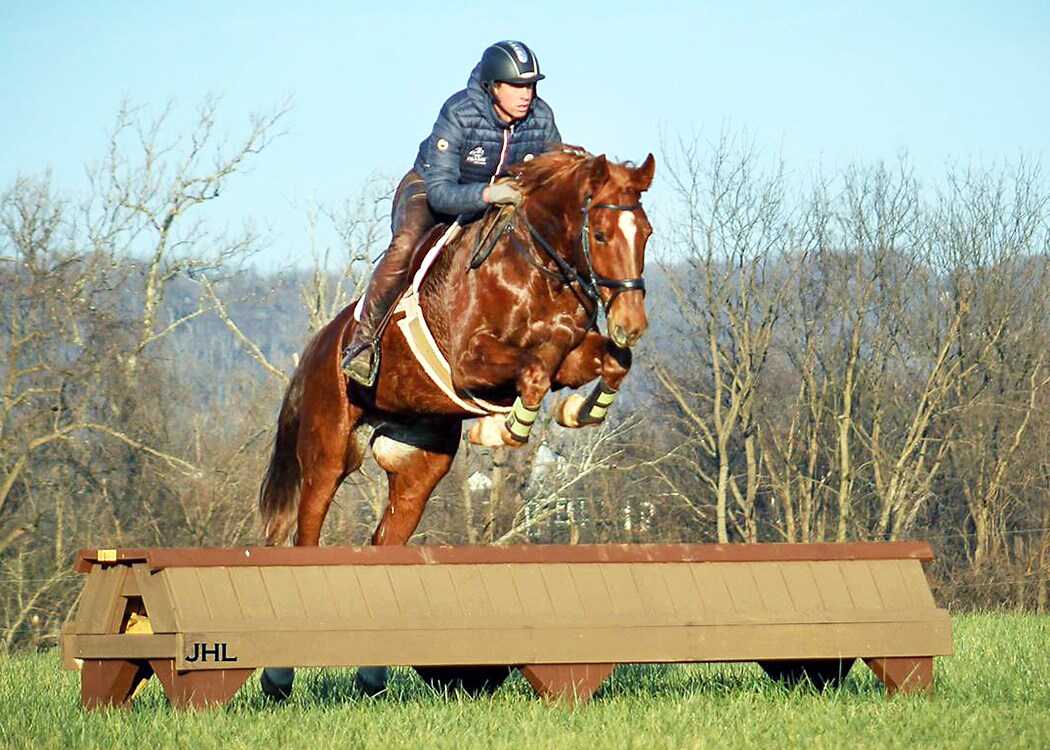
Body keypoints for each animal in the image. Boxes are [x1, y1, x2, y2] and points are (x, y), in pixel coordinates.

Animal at [258, 146, 651, 693]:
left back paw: (372, 674)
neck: (536, 266)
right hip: (328, 452)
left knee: (385, 540)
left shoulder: (572, 356)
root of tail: (319, 346)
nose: (631, 324)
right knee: (306, 534)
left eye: (647, 233)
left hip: (418, 466)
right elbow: (535, 366)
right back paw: (280, 675)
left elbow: (603, 360)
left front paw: (579, 409)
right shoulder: (471, 362)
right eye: (601, 235)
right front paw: (508, 425)